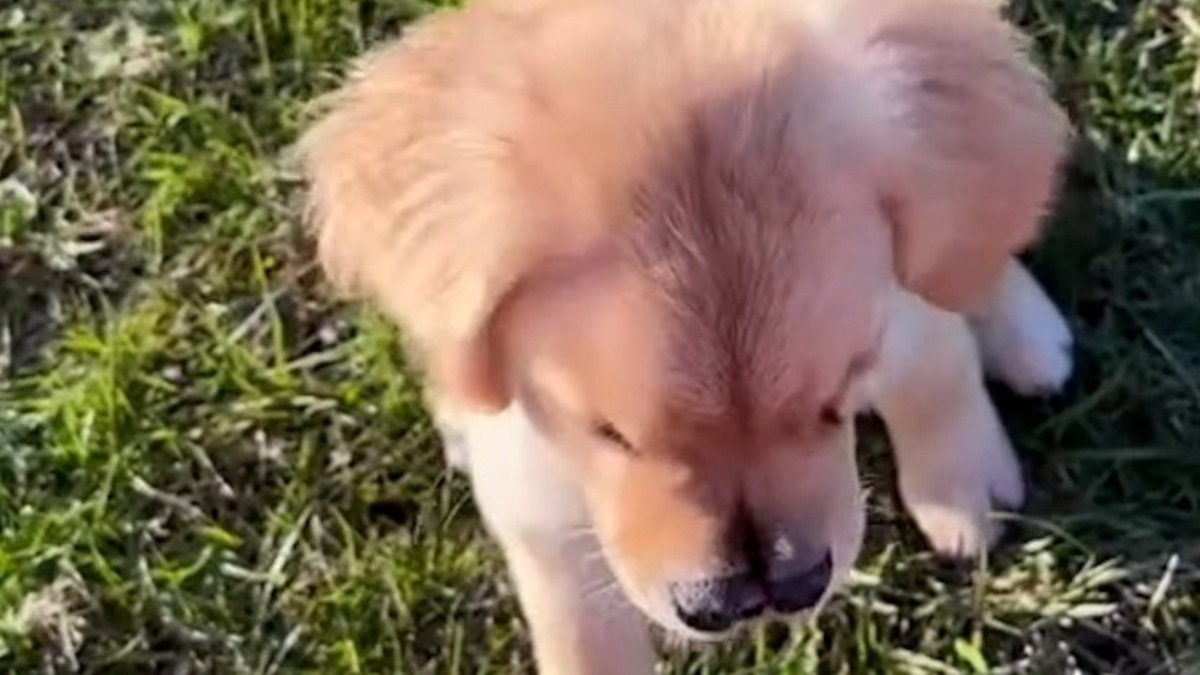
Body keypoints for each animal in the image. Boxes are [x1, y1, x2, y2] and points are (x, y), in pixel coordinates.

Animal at [297, 0, 1070, 667]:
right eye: (610, 435)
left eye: (832, 404)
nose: (763, 594)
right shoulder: (539, 508)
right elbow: (581, 635)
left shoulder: (903, 307)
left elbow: (937, 372)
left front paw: (962, 488)